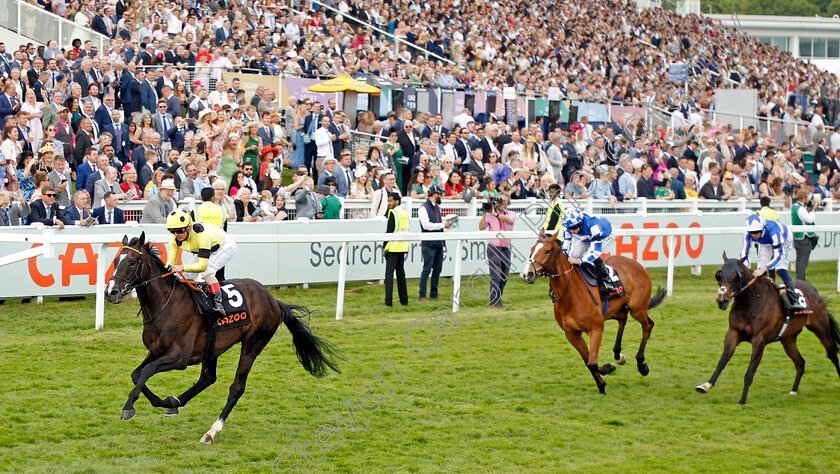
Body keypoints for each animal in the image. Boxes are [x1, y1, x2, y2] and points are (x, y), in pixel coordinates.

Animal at [105, 233, 342, 444]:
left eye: (132, 261)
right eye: (116, 260)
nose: (111, 292)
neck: (166, 304)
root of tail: (272, 299)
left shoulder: (179, 357)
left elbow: (146, 371)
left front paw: (128, 408)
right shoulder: (155, 350)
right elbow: (137, 374)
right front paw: (161, 401)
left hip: (253, 343)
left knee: (236, 388)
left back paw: (211, 431)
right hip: (213, 347)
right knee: (208, 378)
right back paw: (175, 402)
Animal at [520, 231, 668, 394]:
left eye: (547, 251)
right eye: (532, 249)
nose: (528, 274)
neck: (571, 293)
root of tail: (638, 265)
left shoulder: (596, 329)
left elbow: (592, 362)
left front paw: (608, 370)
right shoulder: (571, 334)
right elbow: (588, 361)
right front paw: (602, 382)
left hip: (637, 308)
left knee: (648, 325)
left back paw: (642, 364)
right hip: (616, 309)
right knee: (623, 319)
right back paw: (618, 355)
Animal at [696, 254, 840, 406]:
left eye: (736, 276)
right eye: (720, 274)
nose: (721, 301)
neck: (751, 302)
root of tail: (814, 290)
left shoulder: (759, 340)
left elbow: (750, 372)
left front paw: (742, 400)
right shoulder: (733, 333)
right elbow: (722, 361)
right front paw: (706, 385)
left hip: (821, 330)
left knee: (832, 354)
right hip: (788, 339)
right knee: (800, 362)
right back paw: (793, 390)